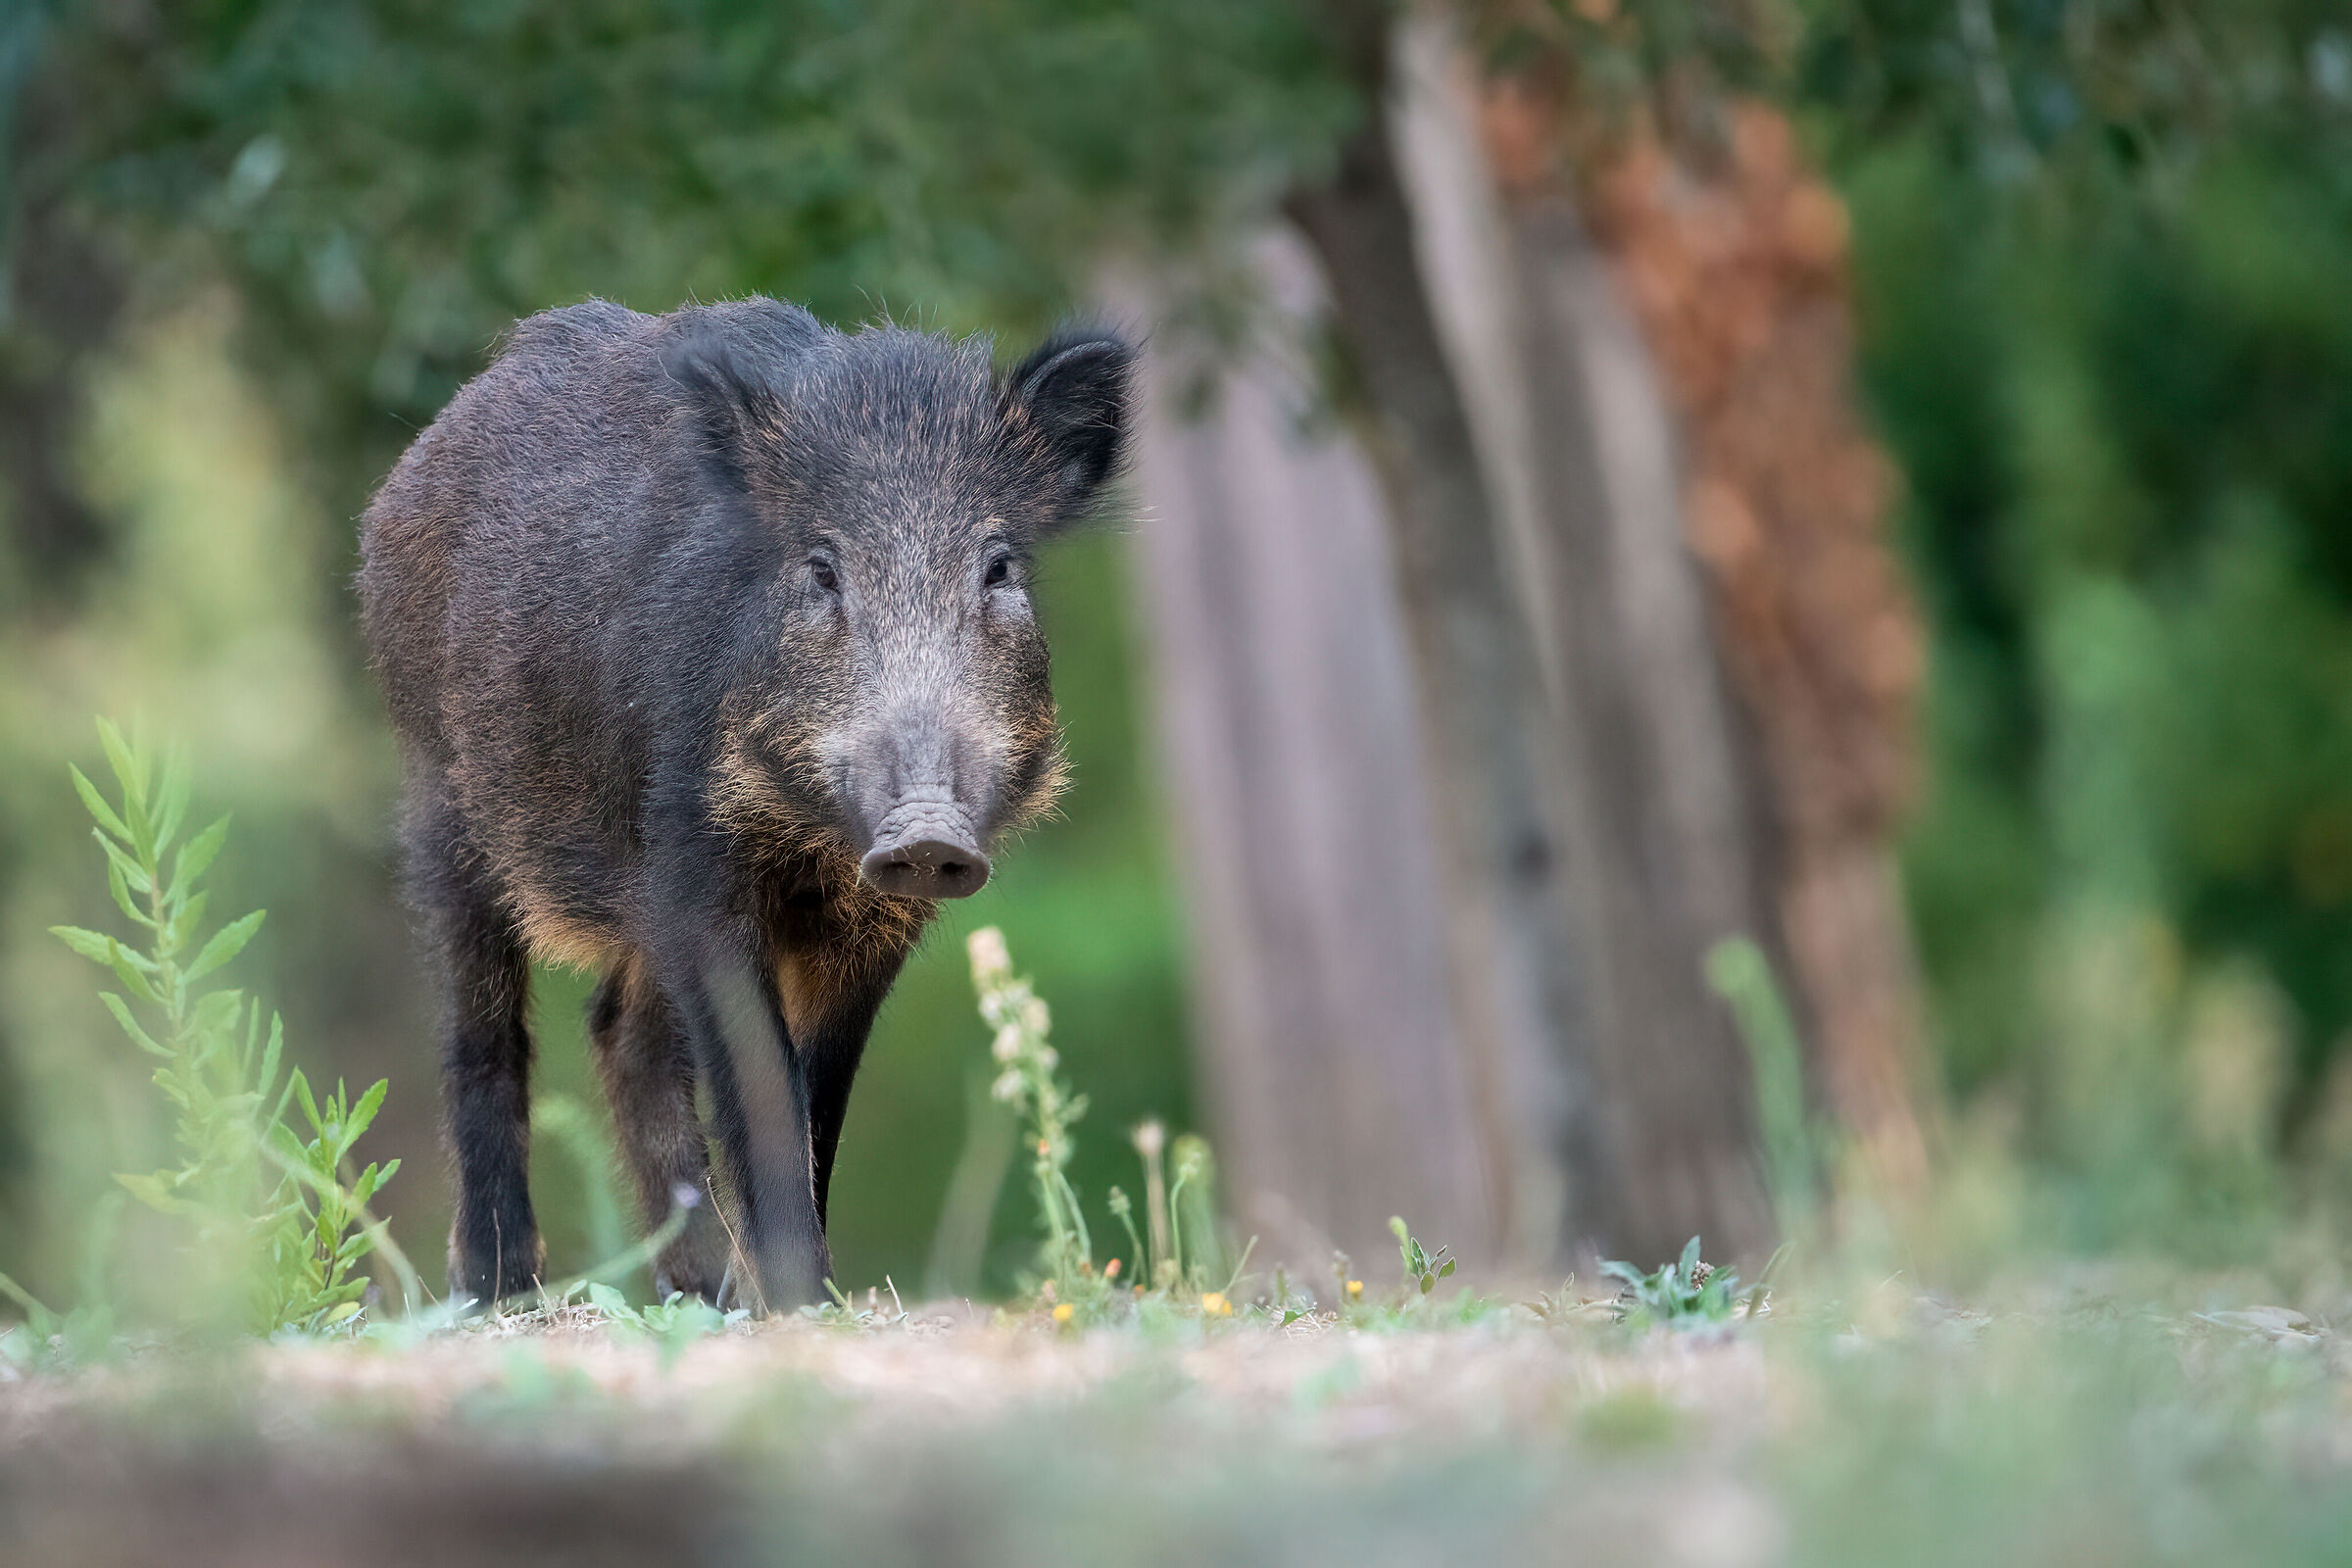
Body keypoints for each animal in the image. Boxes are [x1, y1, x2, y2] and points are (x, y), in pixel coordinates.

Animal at [358, 298, 1132, 1309]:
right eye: (822, 569)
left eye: (999, 568)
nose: (927, 829)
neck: (812, 839)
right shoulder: (694, 865)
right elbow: (762, 1085)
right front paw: (802, 1300)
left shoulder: (872, 921)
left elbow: (819, 1096)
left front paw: (815, 1297)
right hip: (441, 795)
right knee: (479, 1029)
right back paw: (499, 1289)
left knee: (624, 1033)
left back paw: (698, 1292)